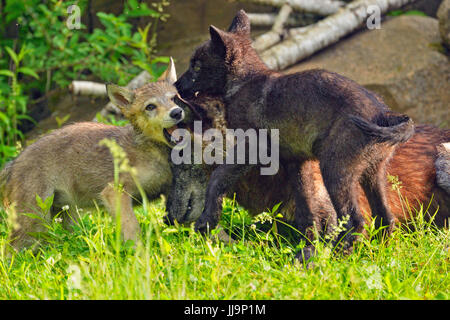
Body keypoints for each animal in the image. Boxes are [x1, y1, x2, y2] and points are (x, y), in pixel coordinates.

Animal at [1, 58, 185, 251]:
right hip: (34, 224)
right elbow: (132, 229)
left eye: (174, 98)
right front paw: (139, 255)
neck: (154, 152)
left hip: (66, 217)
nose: (176, 112)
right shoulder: (114, 192)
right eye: (150, 107)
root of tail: (12, 164)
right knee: (10, 251)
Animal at [172, 10, 414, 250]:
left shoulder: (251, 147)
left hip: (335, 170)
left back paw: (337, 253)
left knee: (356, 221)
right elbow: (306, 206)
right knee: (385, 217)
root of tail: (383, 113)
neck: (243, 83)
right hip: (373, 174)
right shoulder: (296, 162)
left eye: (196, 66)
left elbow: (218, 177)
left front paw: (206, 221)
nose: (176, 86)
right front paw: (307, 245)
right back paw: (378, 252)